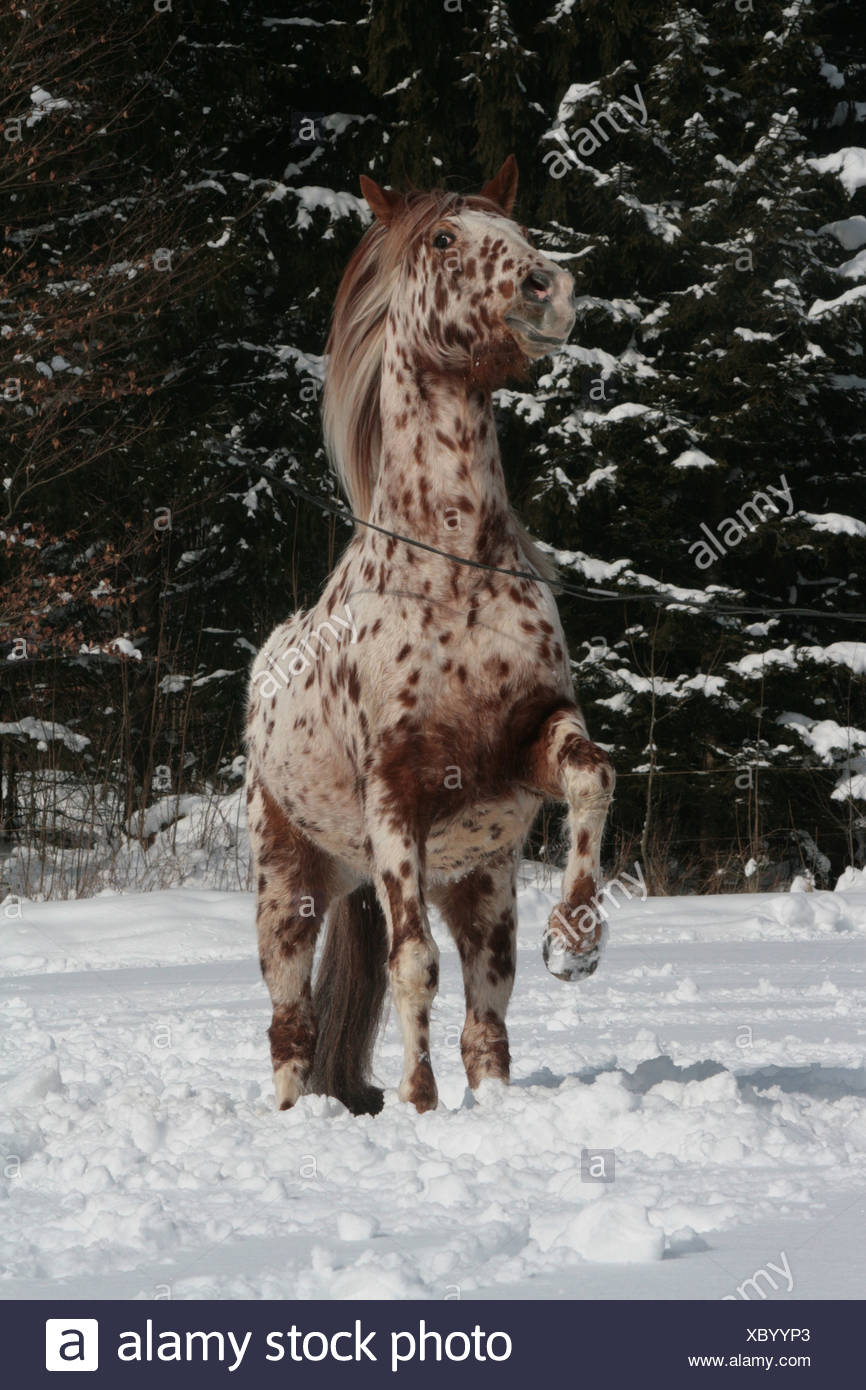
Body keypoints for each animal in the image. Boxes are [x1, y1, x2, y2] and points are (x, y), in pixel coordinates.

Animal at [245, 156, 615, 1116]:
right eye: (446, 237)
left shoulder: (528, 740)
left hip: (475, 884)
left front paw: (579, 938)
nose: (550, 288)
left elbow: (594, 775)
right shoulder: (396, 798)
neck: (454, 573)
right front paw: (417, 1104)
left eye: (518, 228)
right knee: (292, 1025)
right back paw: (299, 1114)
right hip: (290, 884)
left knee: (488, 1011)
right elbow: (413, 965)